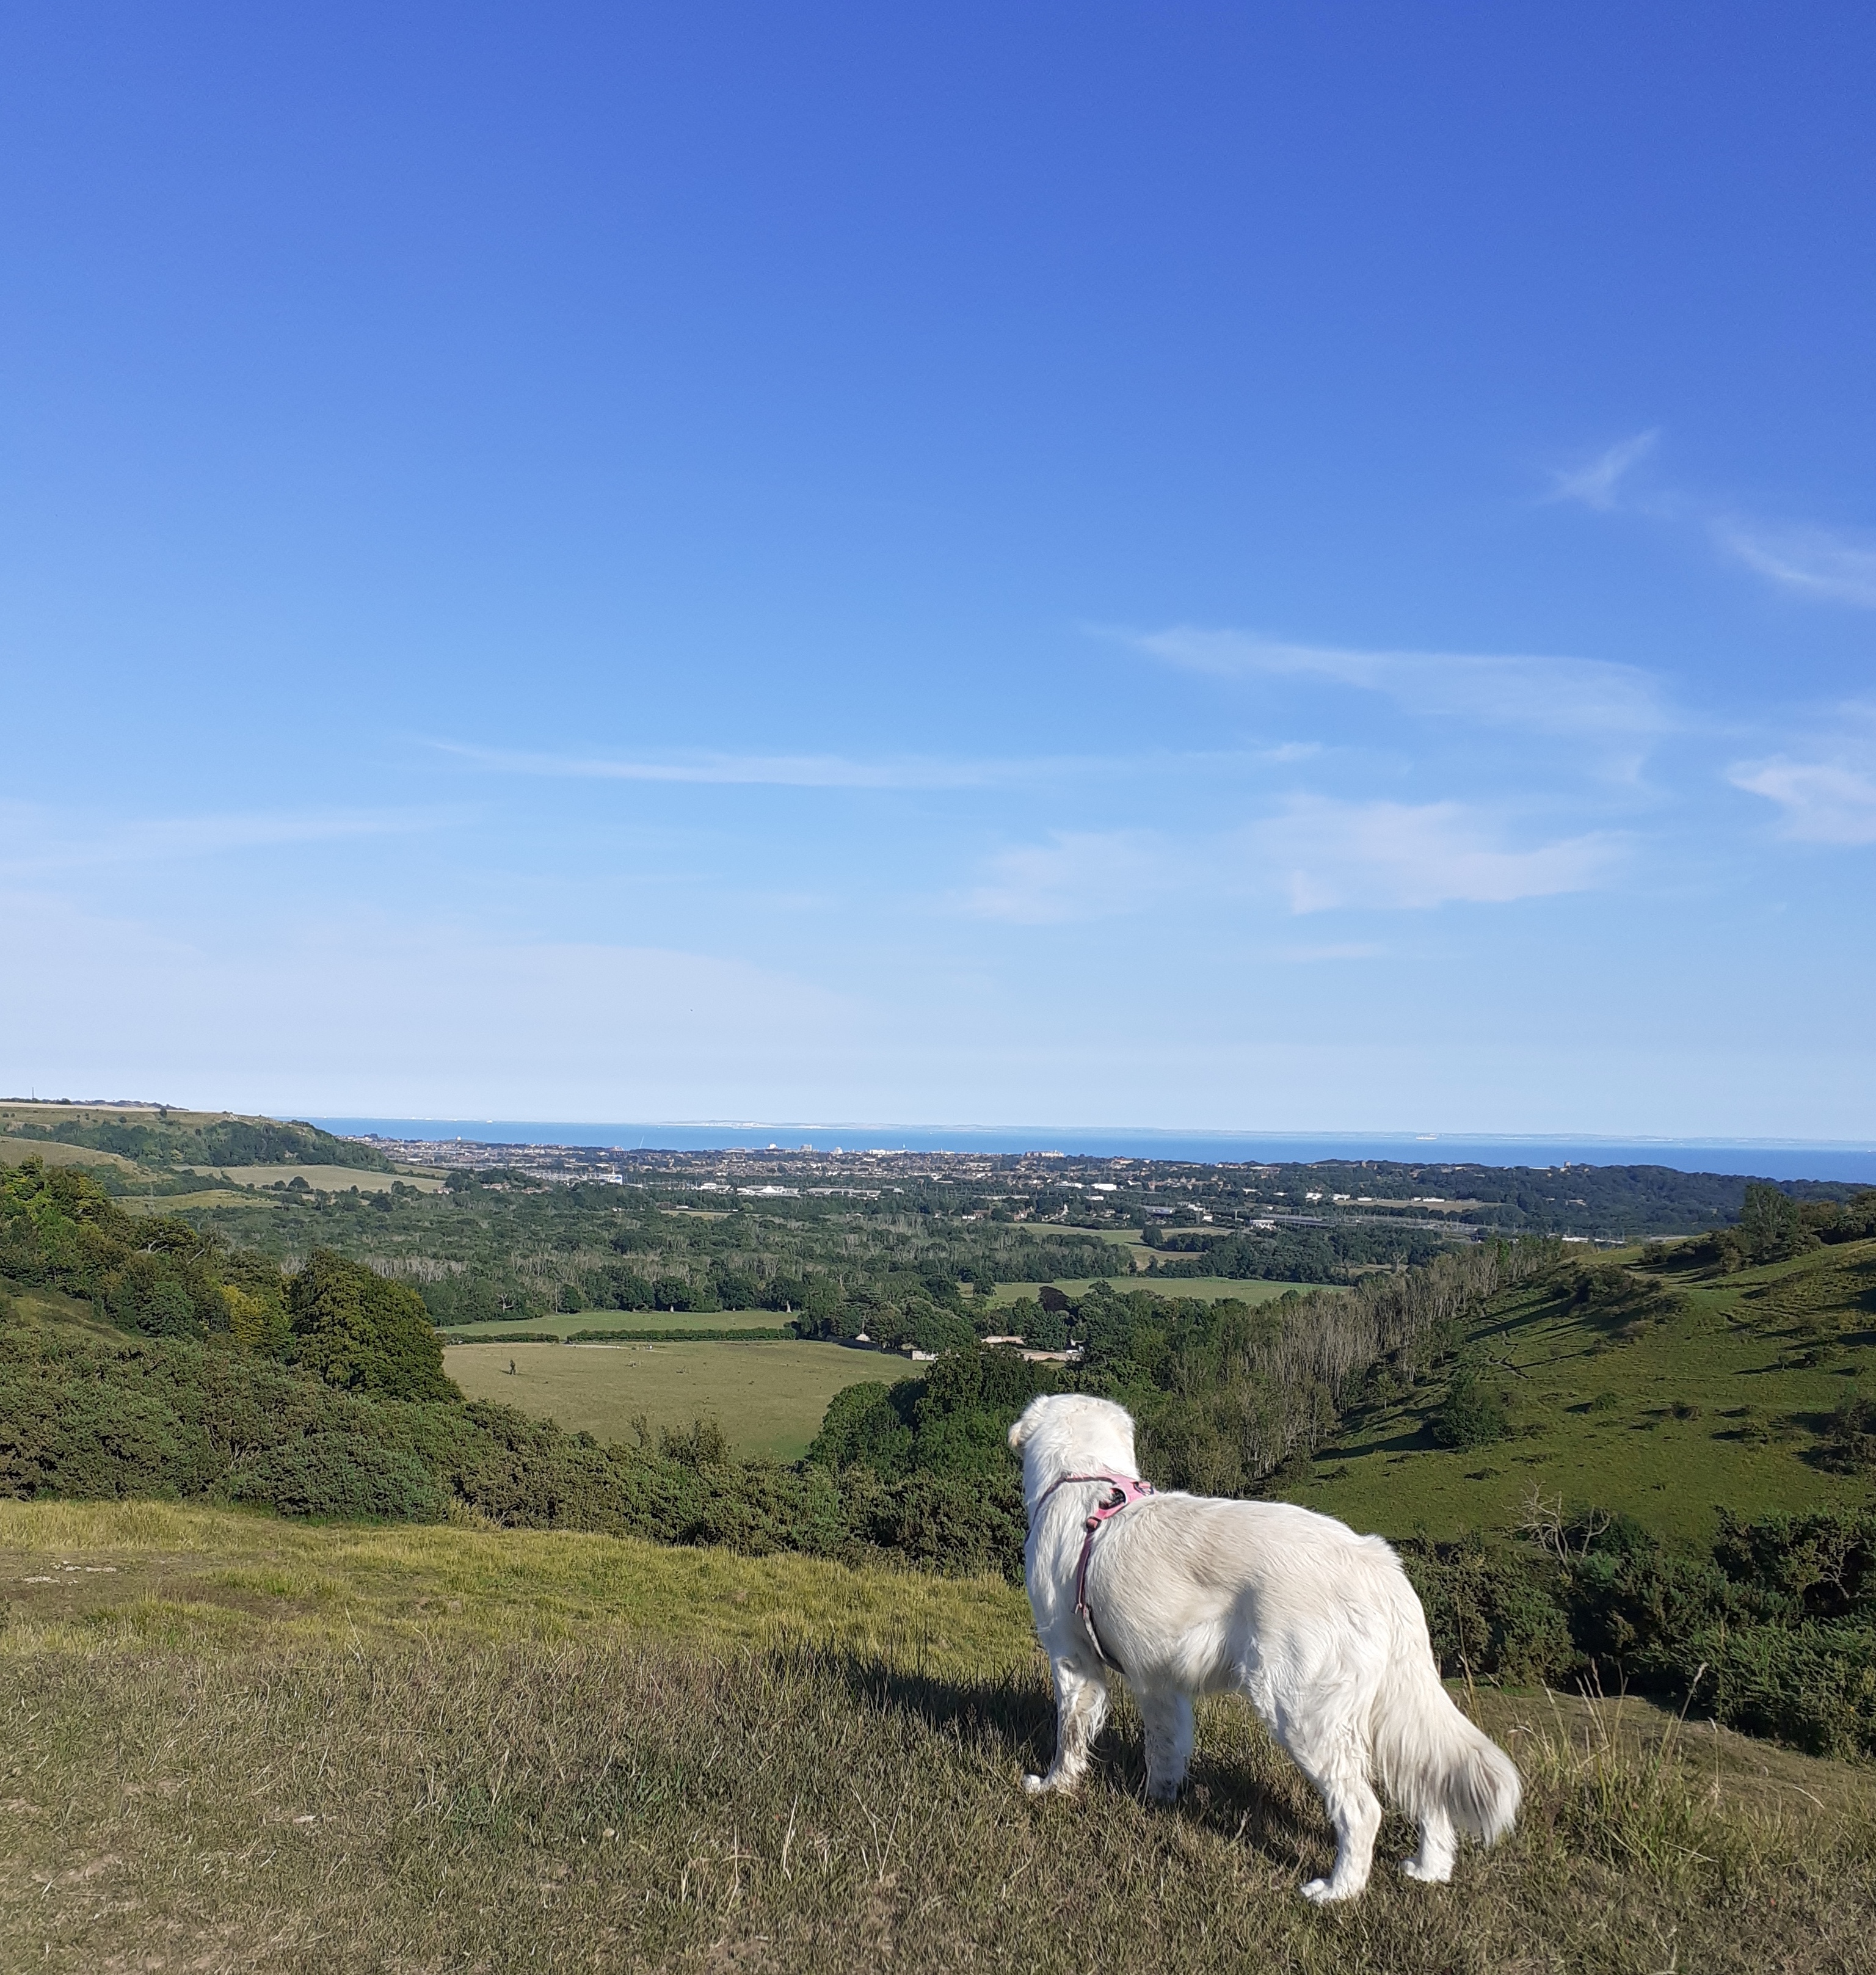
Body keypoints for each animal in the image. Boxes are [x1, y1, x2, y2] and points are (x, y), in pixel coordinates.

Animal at [1011, 1390, 1524, 1896]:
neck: (1086, 1479)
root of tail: (1378, 1563)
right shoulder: (1160, 1679)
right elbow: (1166, 1748)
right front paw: (1157, 1800)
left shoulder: (1073, 1659)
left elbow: (1069, 1734)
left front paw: (1053, 1786)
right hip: (1390, 1711)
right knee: (1431, 1794)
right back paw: (1429, 1869)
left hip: (1299, 1711)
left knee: (1363, 1811)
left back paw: (1338, 1891)